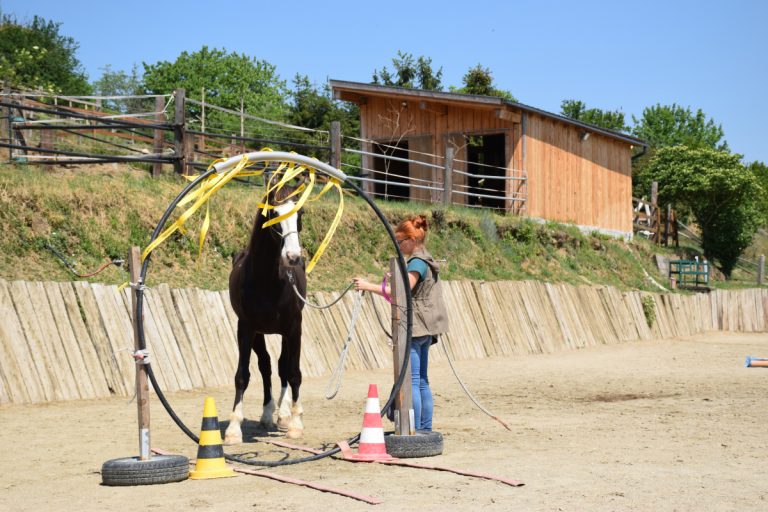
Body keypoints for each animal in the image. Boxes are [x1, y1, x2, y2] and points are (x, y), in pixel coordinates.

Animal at [222, 185, 306, 444]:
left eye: (300, 215)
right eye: (274, 215)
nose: (293, 257)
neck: (267, 280)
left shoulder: (294, 328)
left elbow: (293, 373)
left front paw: (295, 424)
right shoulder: (246, 328)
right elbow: (242, 375)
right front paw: (233, 429)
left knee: (282, 366)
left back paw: (285, 413)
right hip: (259, 334)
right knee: (267, 365)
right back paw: (269, 413)